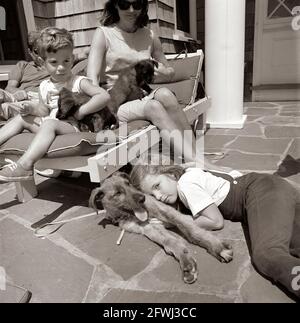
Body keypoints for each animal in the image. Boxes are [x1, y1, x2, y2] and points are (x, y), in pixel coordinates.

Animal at [88, 173, 233, 284]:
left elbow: (191, 230)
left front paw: (217, 247)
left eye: (128, 184)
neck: (129, 215)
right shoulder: (149, 228)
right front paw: (186, 262)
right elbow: (170, 241)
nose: (142, 198)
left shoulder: (168, 212)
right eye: (118, 193)